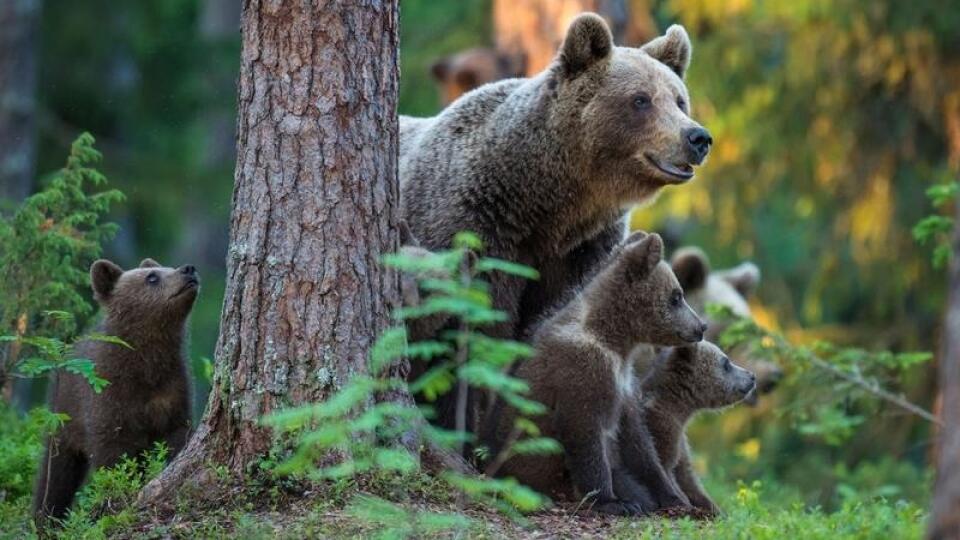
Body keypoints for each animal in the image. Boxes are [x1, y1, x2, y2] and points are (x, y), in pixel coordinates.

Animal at [32, 258, 198, 524]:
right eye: (152, 277)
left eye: (166, 268)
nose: (188, 269)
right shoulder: (108, 397)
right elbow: (112, 454)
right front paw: (114, 496)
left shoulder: (173, 389)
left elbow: (177, 434)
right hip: (63, 416)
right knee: (56, 472)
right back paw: (45, 518)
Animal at [402, 12, 708, 432]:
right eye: (640, 99)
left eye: (679, 99)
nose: (697, 137)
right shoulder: (475, 228)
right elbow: (471, 336)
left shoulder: (580, 250)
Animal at [496, 232, 704, 516]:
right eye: (676, 296)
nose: (701, 327)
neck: (616, 341)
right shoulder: (584, 370)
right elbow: (586, 433)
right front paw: (614, 501)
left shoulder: (625, 384)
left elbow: (639, 444)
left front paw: (674, 497)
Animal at [632, 342, 756, 516]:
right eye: (726, 363)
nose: (752, 376)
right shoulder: (661, 427)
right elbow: (668, 470)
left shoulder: (681, 441)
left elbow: (688, 478)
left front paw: (717, 510)